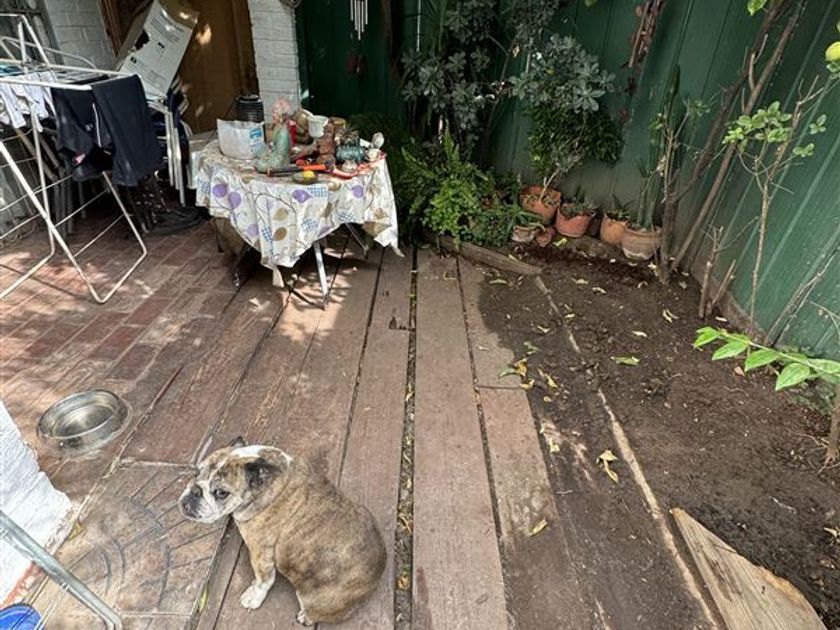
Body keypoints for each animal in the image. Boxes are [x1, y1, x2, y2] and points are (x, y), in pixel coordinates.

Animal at [179, 437, 386, 625]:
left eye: (221, 493)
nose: (195, 491)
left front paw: (254, 596)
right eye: (196, 472)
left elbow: (264, 579)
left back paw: (307, 617)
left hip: (315, 599)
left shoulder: (261, 552)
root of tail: (375, 579)